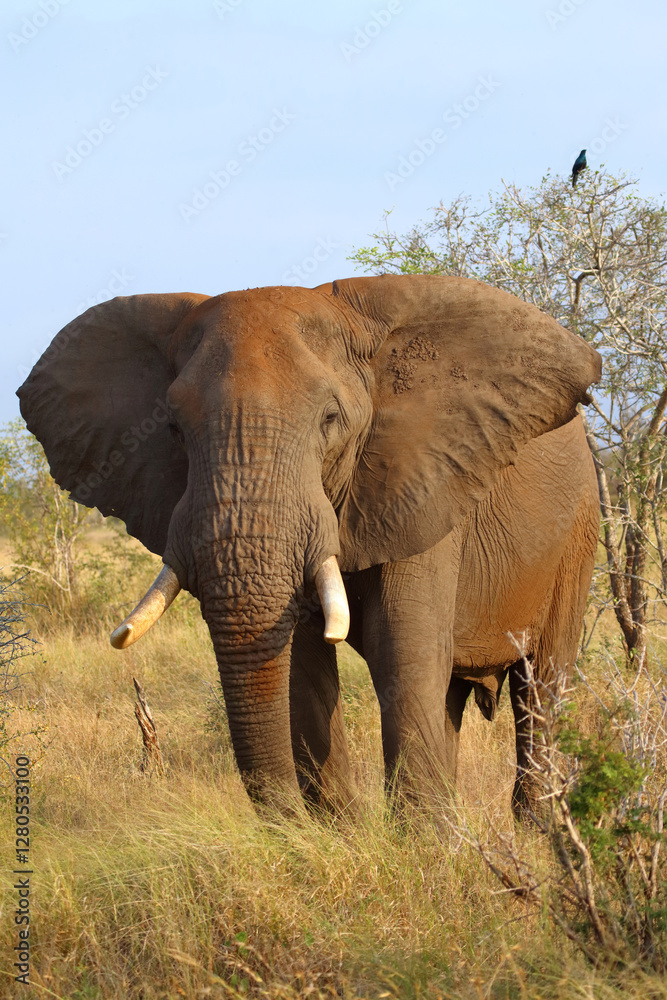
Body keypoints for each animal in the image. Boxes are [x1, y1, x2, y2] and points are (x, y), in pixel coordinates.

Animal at [17, 275, 601, 816]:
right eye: (174, 429)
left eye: (330, 420)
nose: (288, 821)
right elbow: (300, 662)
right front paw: (341, 837)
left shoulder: (423, 479)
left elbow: (401, 650)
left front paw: (421, 849)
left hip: (579, 529)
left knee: (542, 683)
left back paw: (537, 830)